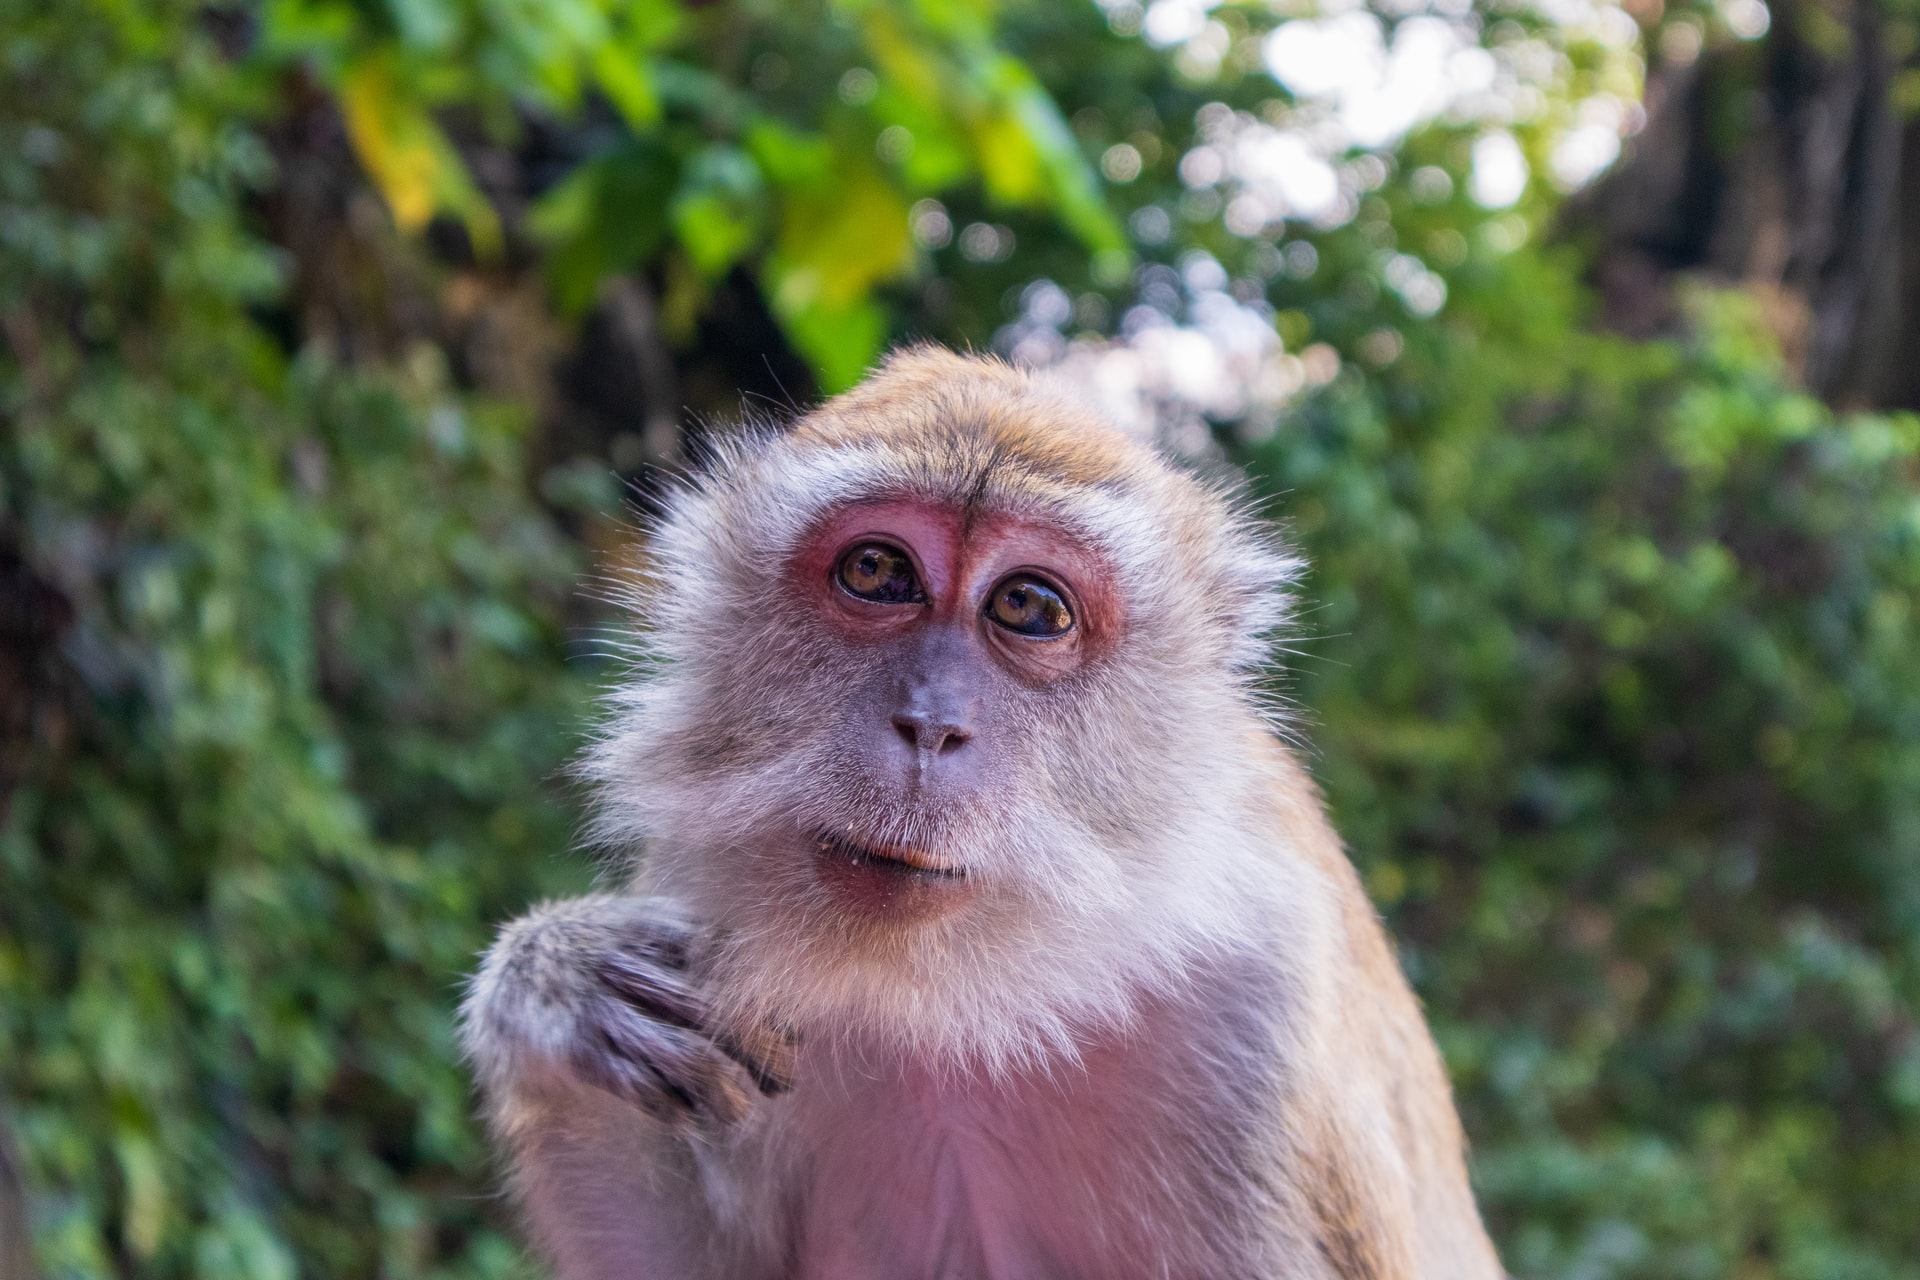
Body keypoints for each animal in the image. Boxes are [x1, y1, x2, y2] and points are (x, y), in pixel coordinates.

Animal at [462, 347, 1503, 1280]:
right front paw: (557, 984)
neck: (957, 993)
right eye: (877, 572)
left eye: (1031, 607)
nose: (931, 725)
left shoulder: (1260, 1010)